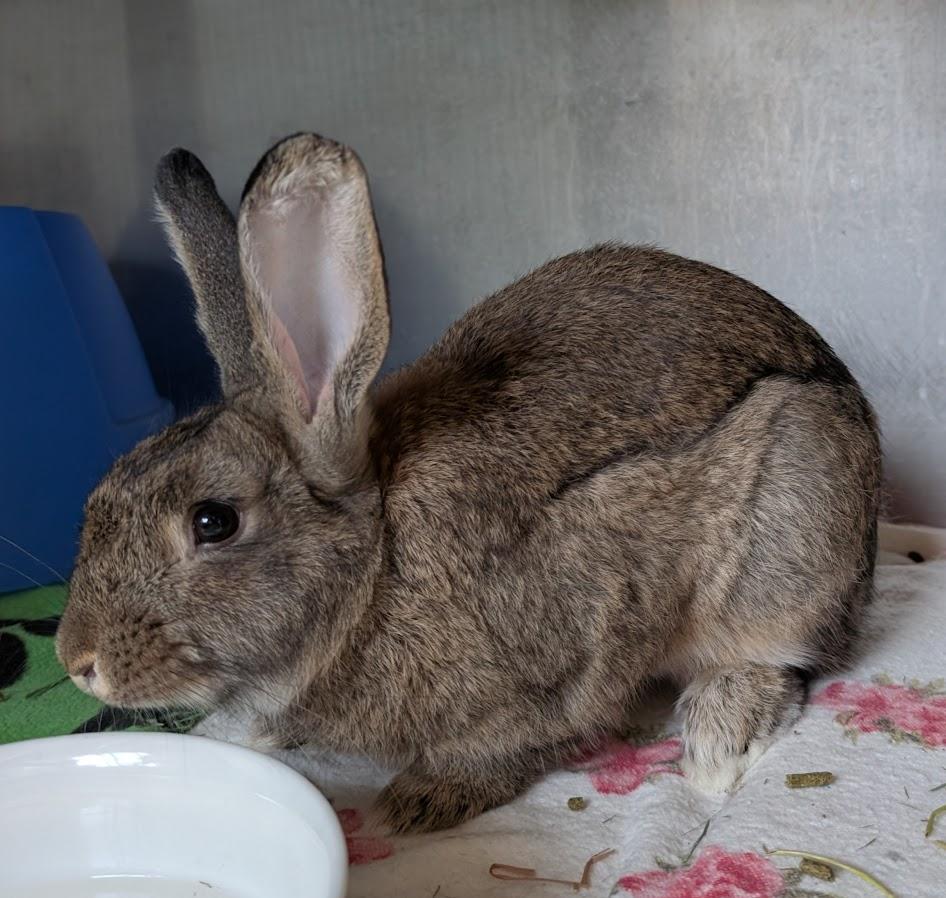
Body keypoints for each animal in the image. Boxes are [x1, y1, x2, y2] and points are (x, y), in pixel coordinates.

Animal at [56, 132, 881, 833]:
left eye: (213, 521)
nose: (77, 661)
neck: (375, 567)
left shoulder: (583, 631)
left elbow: (527, 733)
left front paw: (424, 798)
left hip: (794, 519)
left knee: (788, 654)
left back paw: (719, 731)